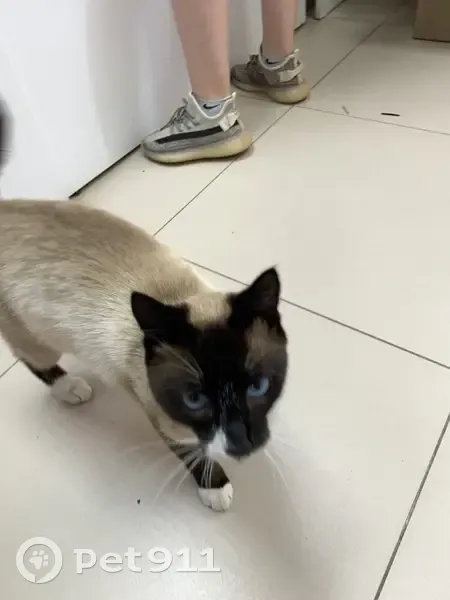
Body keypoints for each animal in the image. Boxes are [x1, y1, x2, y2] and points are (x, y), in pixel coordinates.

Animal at [0, 105, 288, 511]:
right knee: (33, 360)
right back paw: (70, 388)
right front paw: (214, 487)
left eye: (258, 386)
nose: (243, 442)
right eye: (195, 399)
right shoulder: (170, 423)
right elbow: (195, 456)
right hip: (35, 337)